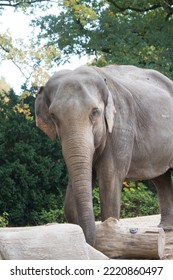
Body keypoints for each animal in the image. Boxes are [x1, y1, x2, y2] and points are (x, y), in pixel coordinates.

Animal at [34, 64, 173, 246]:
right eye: (53, 116)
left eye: (94, 111)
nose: (89, 242)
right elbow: (70, 201)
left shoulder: (121, 125)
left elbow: (109, 178)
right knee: (161, 178)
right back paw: (165, 228)